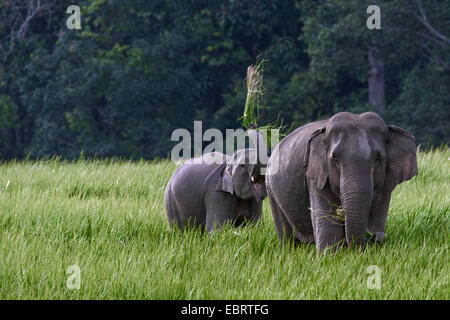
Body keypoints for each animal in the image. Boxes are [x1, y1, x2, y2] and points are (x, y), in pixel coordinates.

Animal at [268, 111, 418, 251]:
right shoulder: (317, 177)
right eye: (335, 158)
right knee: (286, 236)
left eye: (377, 158)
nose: (374, 238)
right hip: (271, 189)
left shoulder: (385, 184)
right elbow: (329, 234)